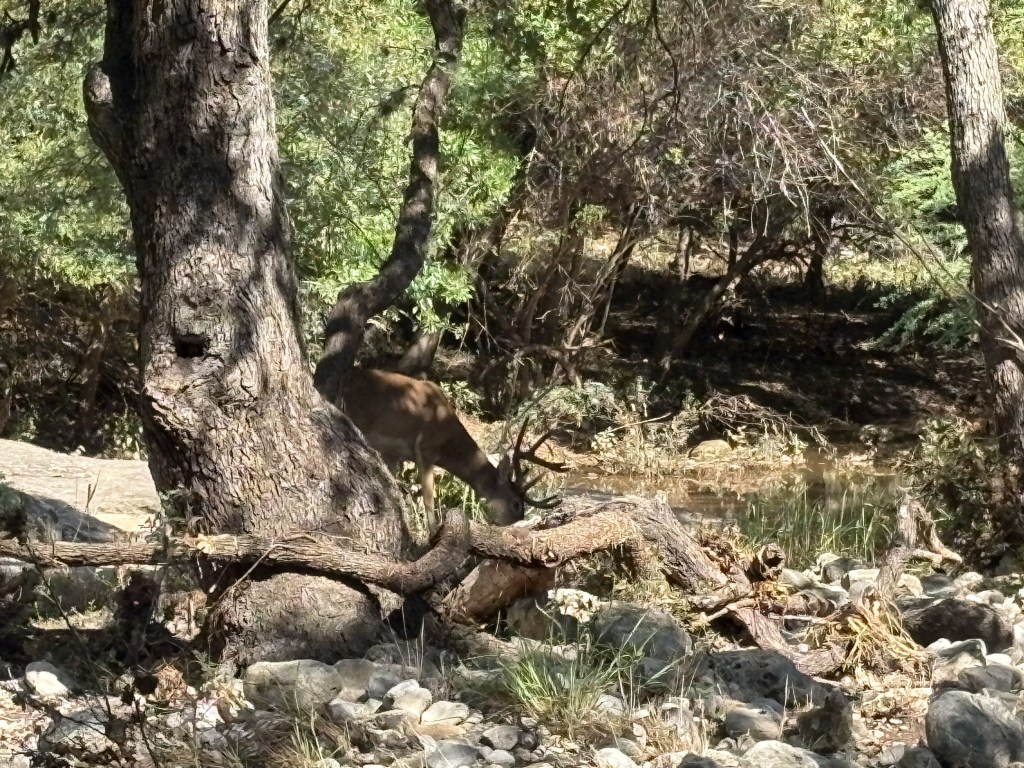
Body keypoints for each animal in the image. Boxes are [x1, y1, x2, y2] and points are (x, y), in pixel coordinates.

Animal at [339, 368, 565, 531]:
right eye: (516, 504)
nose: (515, 524)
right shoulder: (426, 449)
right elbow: (428, 499)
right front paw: (431, 534)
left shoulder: (392, 453)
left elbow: (391, 486)